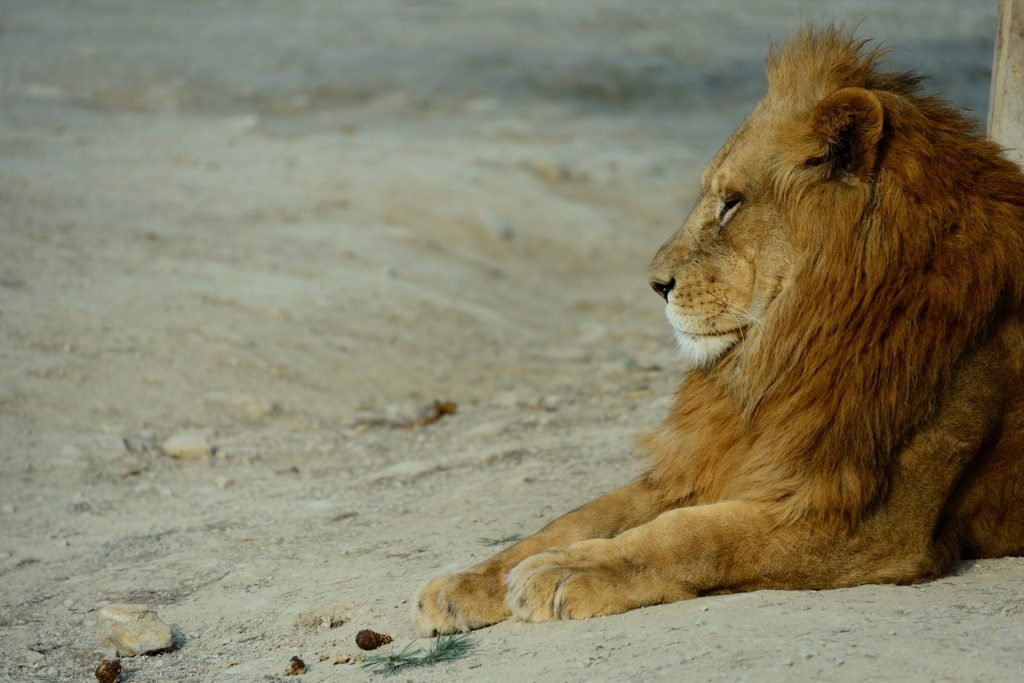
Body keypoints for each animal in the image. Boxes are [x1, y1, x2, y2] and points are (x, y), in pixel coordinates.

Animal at [411, 24, 1024, 638]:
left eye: (731, 205)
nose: (655, 284)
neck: (782, 353)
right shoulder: (711, 457)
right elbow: (579, 517)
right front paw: (471, 581)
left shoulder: (870, 520)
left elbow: (694, 534)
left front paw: (566, 571)